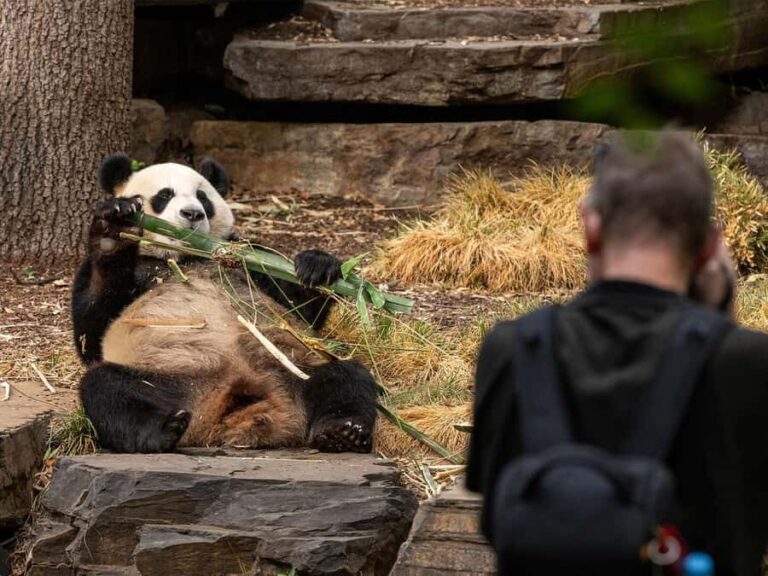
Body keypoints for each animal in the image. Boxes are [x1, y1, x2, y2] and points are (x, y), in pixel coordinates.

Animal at [71, 154, 378, 454]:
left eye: (203, 197)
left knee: (345, 377)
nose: (193, 213)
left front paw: (316, 268)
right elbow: (92, 333)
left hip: (293, 368)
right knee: (106, 388)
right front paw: (113, 231)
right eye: (165, 195)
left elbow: (297, 309)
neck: (187, 255)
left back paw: (342, 432)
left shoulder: (244, 257)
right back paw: (161, 431)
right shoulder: (133, 272)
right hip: (170, 379)